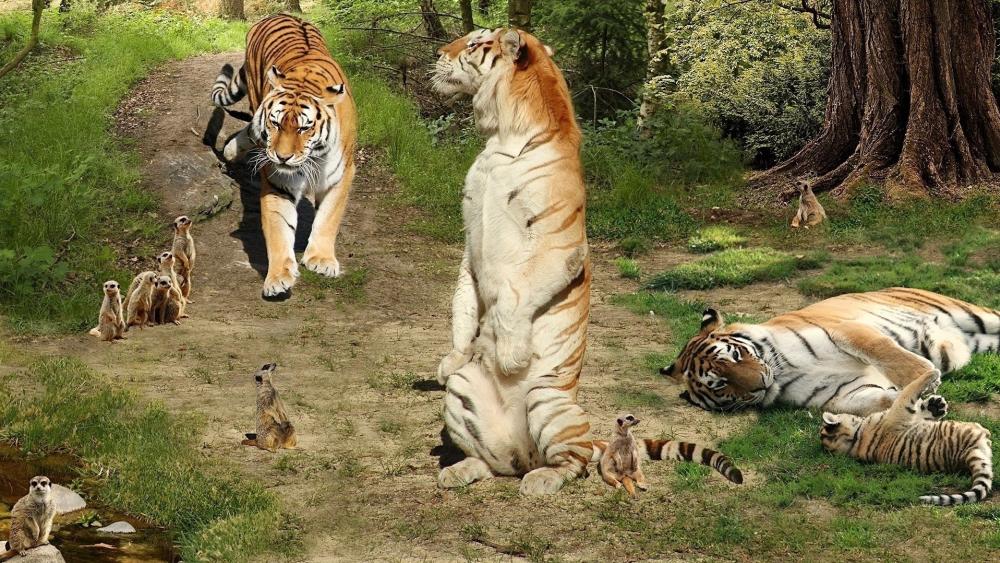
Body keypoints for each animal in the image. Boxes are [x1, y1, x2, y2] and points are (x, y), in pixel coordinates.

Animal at [212, 14, 357, 298]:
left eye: (303, 128)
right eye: (276, 123)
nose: (282, 157)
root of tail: (278, 13)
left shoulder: (341, 175)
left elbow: (328, 218)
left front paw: (321, 260)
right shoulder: (278, 182)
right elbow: (279, 229)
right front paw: (278, 278)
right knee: (252, 129)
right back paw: (232, 150)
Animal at [431, 28, 743, 495]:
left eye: (473, 44)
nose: (437, 52)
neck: (500, 136)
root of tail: (521, 457)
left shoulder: (554, 243)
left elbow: (511, 298)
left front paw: (510, 355)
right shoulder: (470, 237)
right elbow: (464, 298)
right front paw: (452, 354)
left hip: (550, 403)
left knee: (572, 462)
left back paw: (541, 479)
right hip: (462, 394)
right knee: (492, 462)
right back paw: (460, 469)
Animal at [662, 287, 1000, 415]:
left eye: (734, 356)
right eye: (720, 385)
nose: (760, 384)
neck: (781, 371)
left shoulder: (847, 331)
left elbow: (885, 353)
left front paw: (927, 378)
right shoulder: (842, 393)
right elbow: (880, 401)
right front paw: (928, 404)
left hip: (974, 314)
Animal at [821, 368, 993, 505]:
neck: (856, 441)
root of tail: (969, 453)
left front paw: (935, 404)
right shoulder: (900, 411)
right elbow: (909, 391)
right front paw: (933, 374)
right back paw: (985, 430)